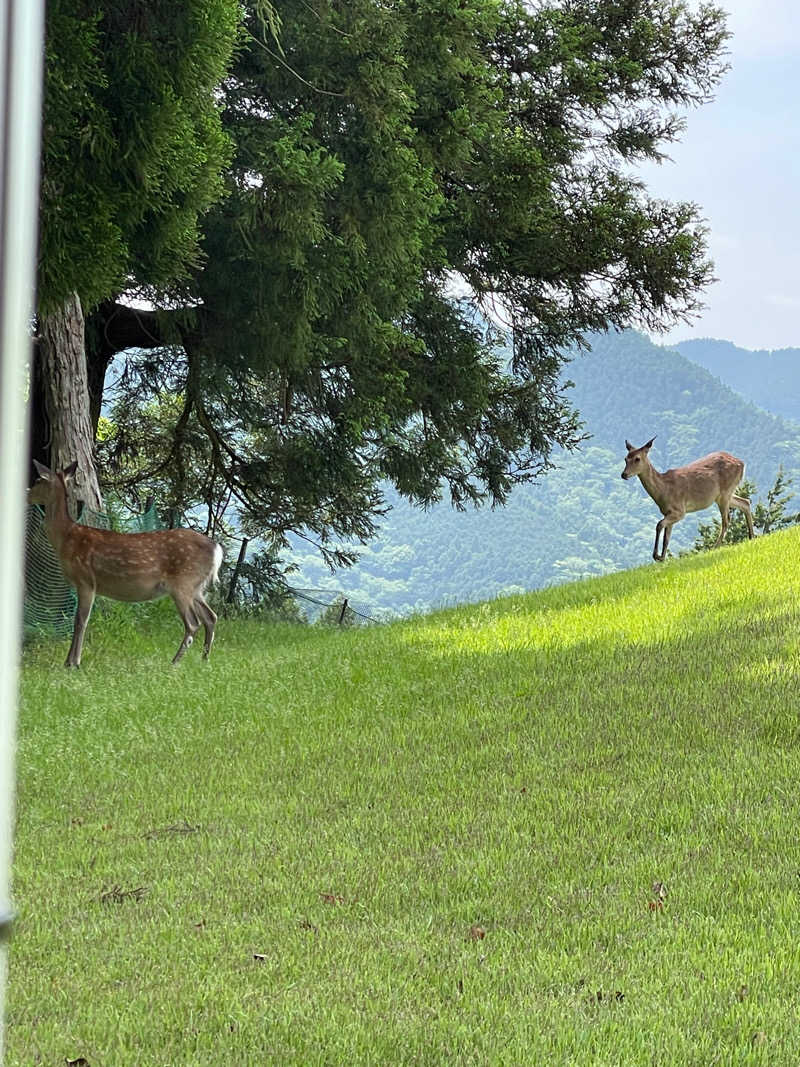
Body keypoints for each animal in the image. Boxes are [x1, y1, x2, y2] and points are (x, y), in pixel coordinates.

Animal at [27, 458, 224, 665]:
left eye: (38, 480)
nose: (27, 494)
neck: (66, 538)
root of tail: (217, 549)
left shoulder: (86, 580)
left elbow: (81, 621)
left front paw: (73, 662)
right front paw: (69, 661)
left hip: (183, 582)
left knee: (193, 623)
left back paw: (175, 662)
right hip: (196, 587)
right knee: (211, 617)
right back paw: (204, 660)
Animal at [622, 437, 755, 563]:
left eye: (637, 458)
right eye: (625, 458)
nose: (624, 474)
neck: (663, 491)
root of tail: (742, 463)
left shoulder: (680, 511)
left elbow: (659, 525)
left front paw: (656, 556)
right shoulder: (668, 512)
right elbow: (666, 538)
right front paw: (663, 558)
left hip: (725, 492)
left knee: (726, 520)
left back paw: (715, 547)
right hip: (724, 495)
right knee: (745, 502)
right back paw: (752, 536)